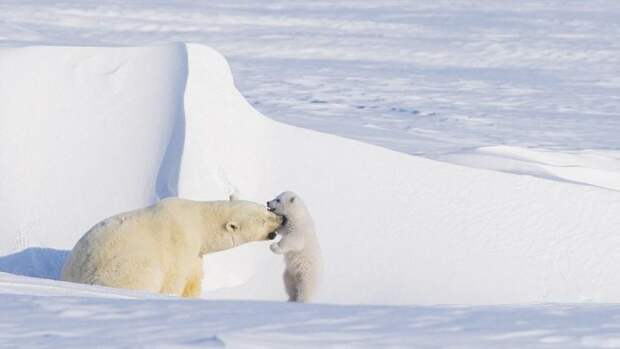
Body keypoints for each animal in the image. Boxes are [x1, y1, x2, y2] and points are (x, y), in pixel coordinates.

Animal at [60, 196, 284, 296]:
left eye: (266, 210)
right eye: (264, 220)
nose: (282, 218)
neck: (199, 221)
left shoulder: (196, 254)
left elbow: (194, 279)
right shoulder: (180, 244)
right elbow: (175, 281)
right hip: (124, 271)